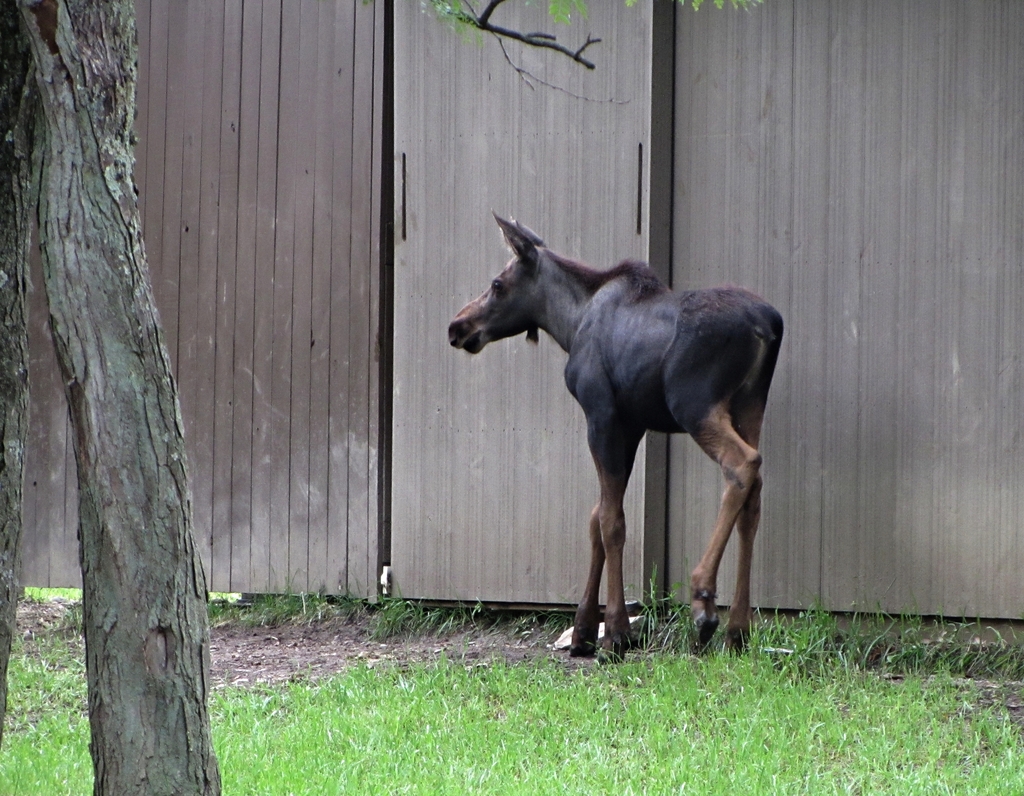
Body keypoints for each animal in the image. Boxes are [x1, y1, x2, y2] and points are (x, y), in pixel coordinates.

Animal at [448, 214, 784, 659]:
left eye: (498, 284)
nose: (458, 326)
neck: (570, 324)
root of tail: (769, 326)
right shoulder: (632, 423)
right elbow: (596, 515)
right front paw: (584, 627)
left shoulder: (601, 414)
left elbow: (611, 521)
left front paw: (616, 633)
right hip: (750, 403)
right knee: (755, 494)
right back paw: (739, 629)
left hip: (695, 404)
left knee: (743, 464)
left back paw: (704, 601)